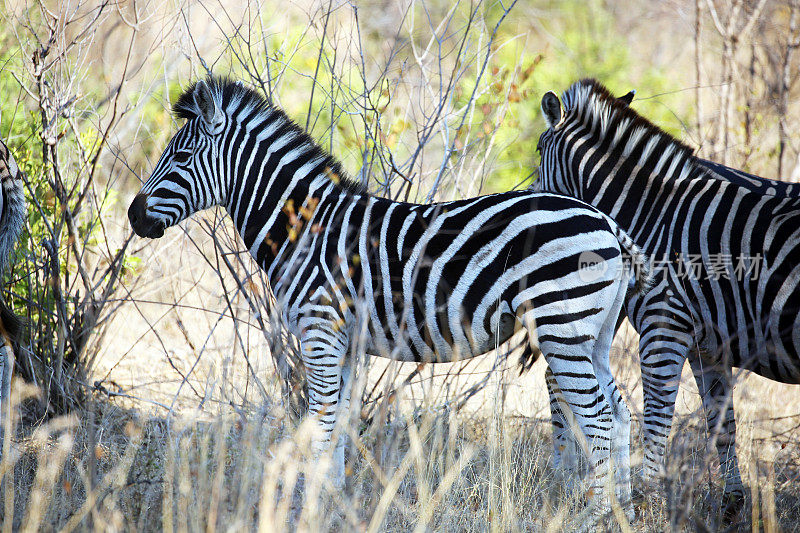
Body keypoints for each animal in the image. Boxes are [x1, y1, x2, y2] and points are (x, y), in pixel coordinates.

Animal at [131, 76, 652, 520]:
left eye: (181, 157)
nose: (135, 217)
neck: (306, 232)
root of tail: (608, 224)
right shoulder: (343, 344)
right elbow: (338, 427)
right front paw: (333, 505)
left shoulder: (319, 333)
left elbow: (320, 426)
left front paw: (310, 509)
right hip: (593, 335)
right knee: (620, 412)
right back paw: (622, 510)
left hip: (563, 328)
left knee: (598, 417)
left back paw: (594, 516)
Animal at [532, 78, 800, 512]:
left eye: (539, 152)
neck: (654, 215)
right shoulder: (708, 346)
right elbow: (721, 424)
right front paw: (731, 505)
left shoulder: (664, 328)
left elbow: (657, 418)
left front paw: (647, 501)